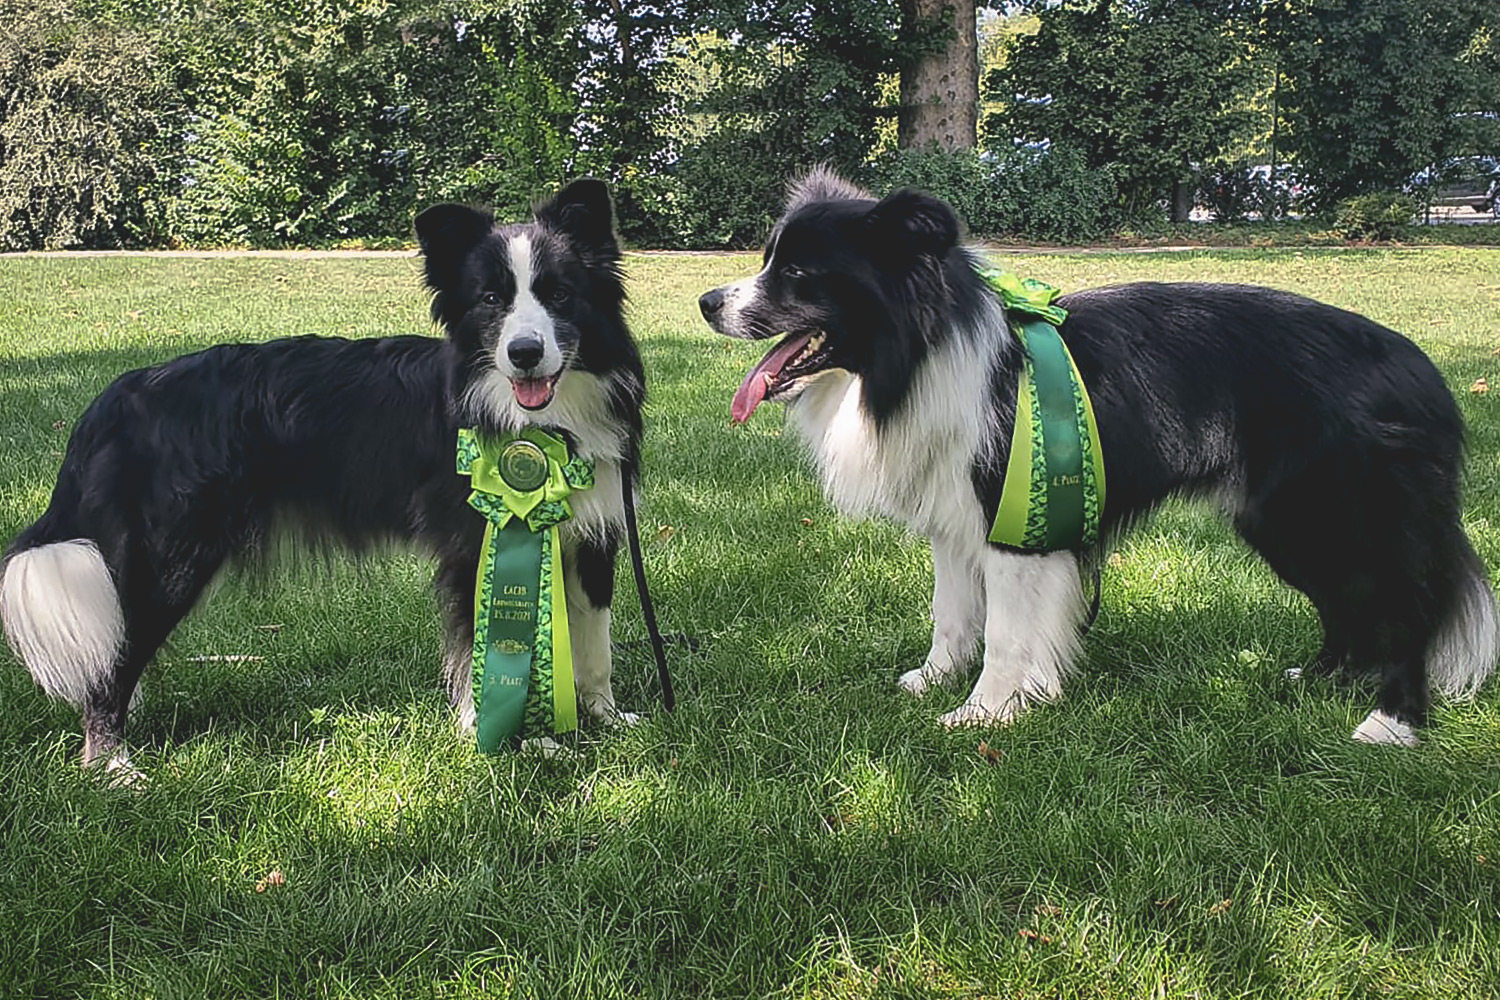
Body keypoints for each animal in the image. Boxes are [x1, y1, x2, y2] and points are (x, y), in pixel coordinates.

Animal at [1, 177, 645, 773]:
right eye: (491, 299)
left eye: (560, 294)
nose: (525, 353)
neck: (542, 423)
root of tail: (118, 396)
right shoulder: (477, 542)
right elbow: (479, 645)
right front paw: (499, 738)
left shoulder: (593, 537)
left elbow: (596, 642)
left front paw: (605, 717)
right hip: (169, 556)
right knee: (116, 655)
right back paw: (111, 762)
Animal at [696, 172, 1494, 746]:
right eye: (768, 260)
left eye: (799, 272)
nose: (706, 302)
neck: (923, 352)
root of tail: (1425, 374)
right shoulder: (958, 520)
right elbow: (951, 613)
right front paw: (936, 679)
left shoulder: (1015, 522)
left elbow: (1005, 631)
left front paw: (986, 712)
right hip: (1287, 523)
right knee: (1350, 605)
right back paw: (1318, 680)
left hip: (1339, 511)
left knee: (1404, 609)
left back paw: (1394, 723)